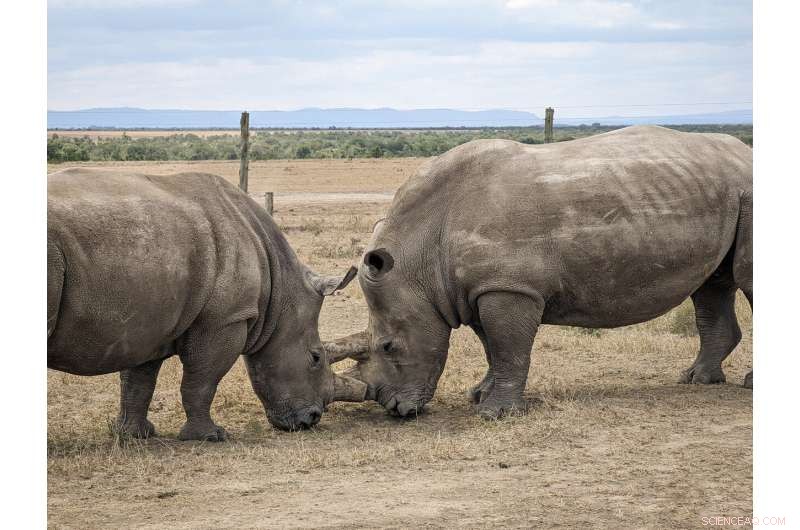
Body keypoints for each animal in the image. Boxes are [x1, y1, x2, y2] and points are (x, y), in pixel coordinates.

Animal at [47, 169, 365, 440]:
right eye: (315, 357)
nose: (311, 419)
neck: (281, 291)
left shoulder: (148, 321)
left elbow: (138, 380)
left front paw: (135, 435)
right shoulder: (224, 319)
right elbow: (202, 380)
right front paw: (211, 436)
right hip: (52, 253)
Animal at [331, 125, 753, 419]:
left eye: (388, 346)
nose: (393, 409)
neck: (418, 257)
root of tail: (745, 153)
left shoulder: (509, 286)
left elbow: (507, 347)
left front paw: (495, 414)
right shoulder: (483, 287)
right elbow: (491, 345)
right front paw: (479, 396)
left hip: (748, 191)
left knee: (745, 279)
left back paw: (747, 386)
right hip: (720, 193)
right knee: (712, 285)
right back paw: (696, 379)